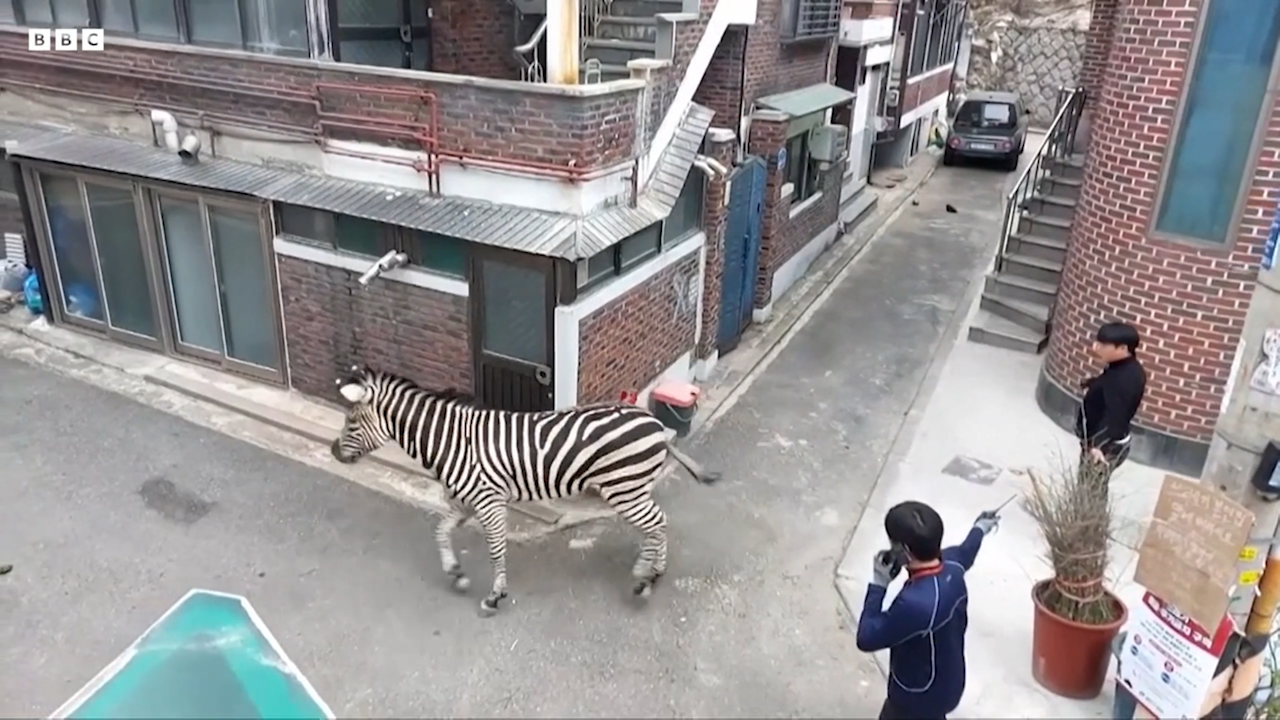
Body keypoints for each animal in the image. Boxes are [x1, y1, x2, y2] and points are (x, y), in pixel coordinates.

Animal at [330, 366, 721, 614]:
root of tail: (654, 421)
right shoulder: (465, 502)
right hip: (632, 488)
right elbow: (440, 531)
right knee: (655, 524)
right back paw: (648, 569)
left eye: (351, 420)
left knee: (657, 523)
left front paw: (495, 596)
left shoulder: (488, 502)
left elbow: (495, 549)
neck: (453, 442)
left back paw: (647, 578)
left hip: (624, 488)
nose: (333, 452)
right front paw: (456, 573)